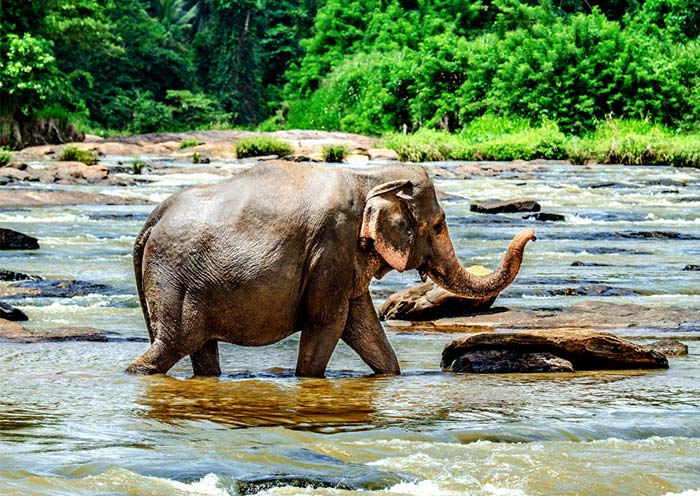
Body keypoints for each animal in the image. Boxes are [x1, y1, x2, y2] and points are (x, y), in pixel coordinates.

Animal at [127, 161, 535, 377]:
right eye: (437, 226)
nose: (531, 233)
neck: (369, 178)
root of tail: (150, 221)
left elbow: (363, 325)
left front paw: (391, 375)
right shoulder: (332, 246)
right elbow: (329, 322)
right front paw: (307, 379)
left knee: (200, 350)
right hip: (174, 279)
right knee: (172, 344)